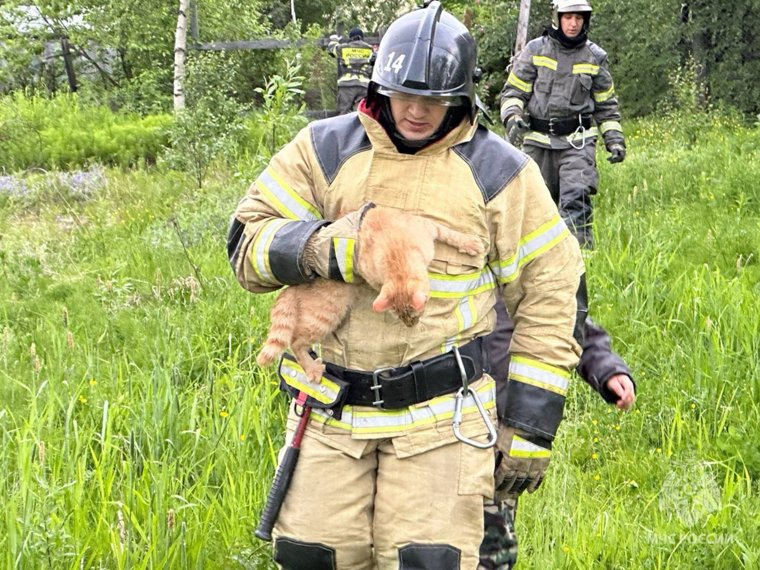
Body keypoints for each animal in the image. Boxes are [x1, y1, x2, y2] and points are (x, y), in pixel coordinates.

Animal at [254, 204, 480, 382]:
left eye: (413, 315)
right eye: (404, 316)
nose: (411, 325)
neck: (396, 252)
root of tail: (292, 287)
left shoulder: (428, 226)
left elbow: (449, 233)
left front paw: (469, 243)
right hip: (323, 317)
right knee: (295, 343)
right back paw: (312, 369)